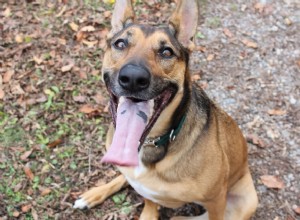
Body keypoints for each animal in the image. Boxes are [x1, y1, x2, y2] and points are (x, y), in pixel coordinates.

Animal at [74, 0, 258, 218]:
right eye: (120, 44)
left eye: (166, 52)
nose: (133, 78)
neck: (151, 142)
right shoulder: (143, 186)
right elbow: (148, 200)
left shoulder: (216, 199)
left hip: (247, 201)